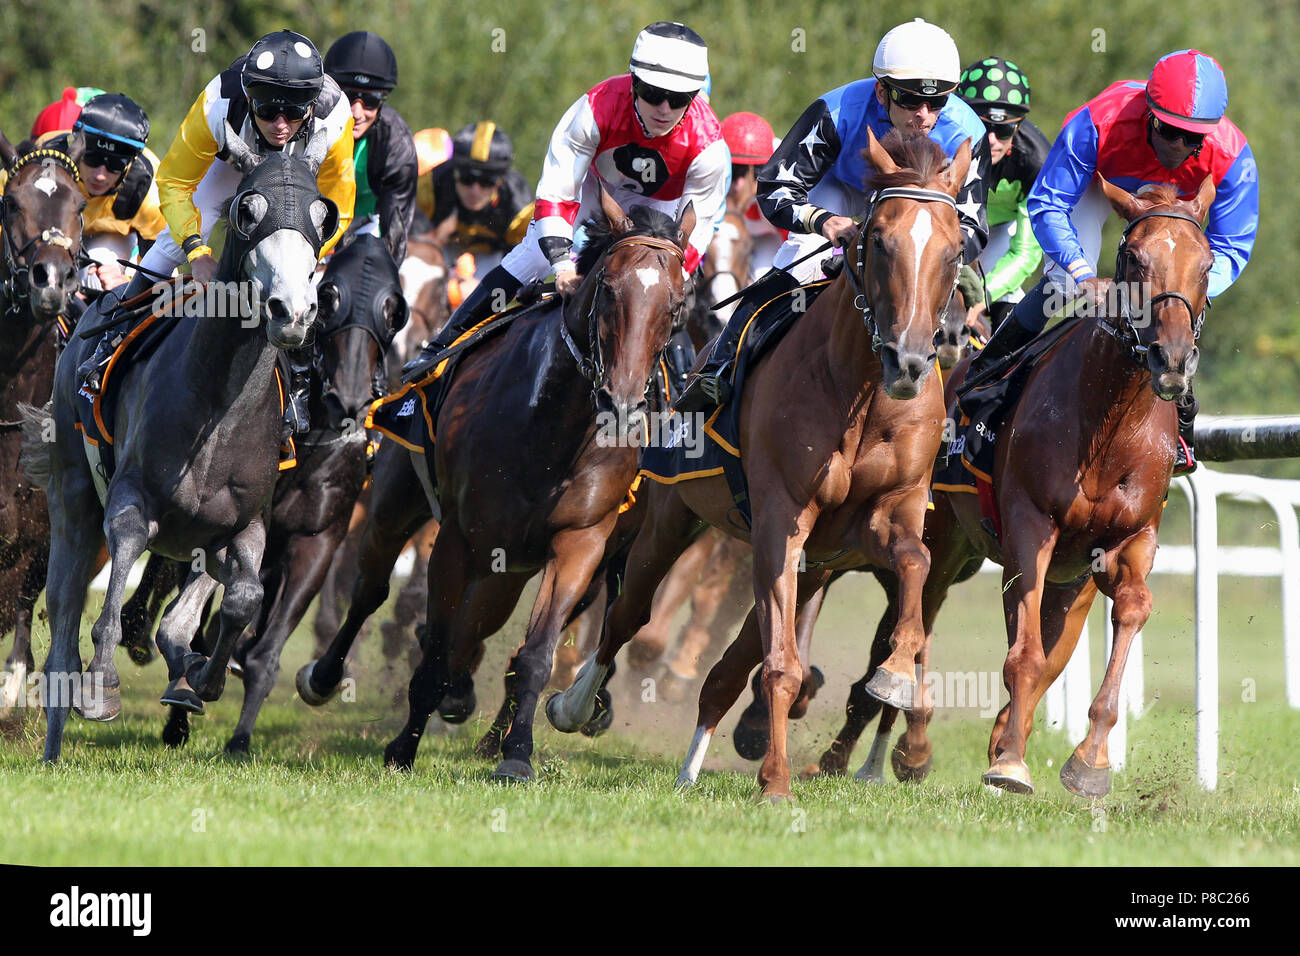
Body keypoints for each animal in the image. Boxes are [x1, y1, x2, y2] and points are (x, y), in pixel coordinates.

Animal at [299, 188, 696, 785]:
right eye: (608, 289)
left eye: (675, 307)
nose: (623, 404)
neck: (552, 426)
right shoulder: (459, 539)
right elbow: (432, 648)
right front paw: (403, 748)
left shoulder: (580, 542)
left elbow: (535, 652)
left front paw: (516, 754)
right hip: (399, 501)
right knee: (370, 588)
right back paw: (326, 677)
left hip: (532, 559)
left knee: (487, 619)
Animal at [543, 127, 972, 801]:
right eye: (879, 240)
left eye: (956, 250)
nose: (908, 360)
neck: (861, 393)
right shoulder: (780, 519)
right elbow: (778, 666)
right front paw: (775, 782)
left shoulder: (888, 517)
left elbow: (914, 563)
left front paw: (898, 676)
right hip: (674, 516)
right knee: (629, 612)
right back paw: (576, 705)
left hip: (811, 562)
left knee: (724, 667)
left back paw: (691, 767)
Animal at [816, 175, 1211, 796]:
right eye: (1133, 257)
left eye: (1207, 263)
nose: (1171, 358)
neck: (1109, 425)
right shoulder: (1031, 526)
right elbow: (1022, 655)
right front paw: (1009, 765)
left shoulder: (1130, 540)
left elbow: (1127, 612)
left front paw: (1087, 761)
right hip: (940, 539)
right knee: (916, 620)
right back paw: (886, 744)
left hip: (1050, 577)